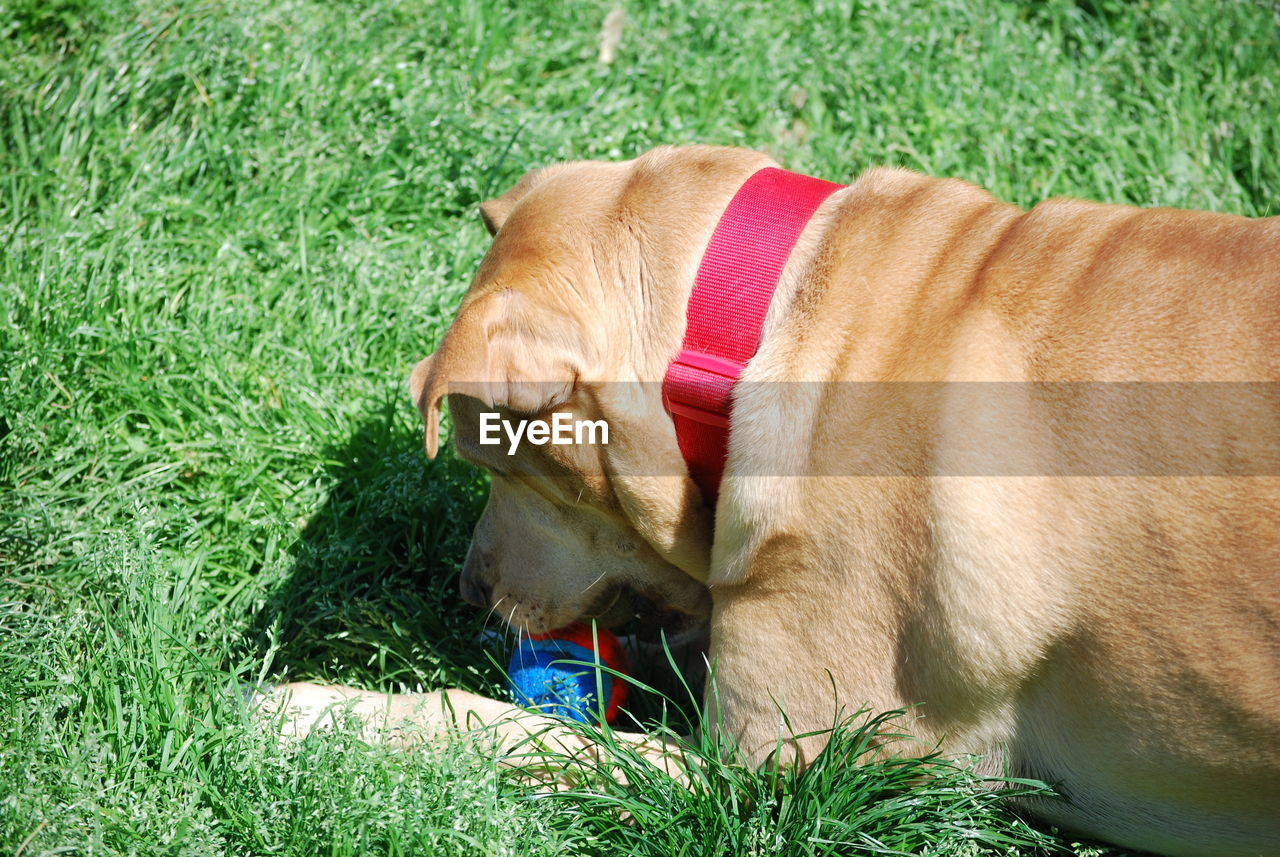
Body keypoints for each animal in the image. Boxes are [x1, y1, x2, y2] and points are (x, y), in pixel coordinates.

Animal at [270, 147, 1280, 857]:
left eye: (502, 462)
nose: (471, 592)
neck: (749, 328)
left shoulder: (761, 778)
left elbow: (498, 729)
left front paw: (315, 711)